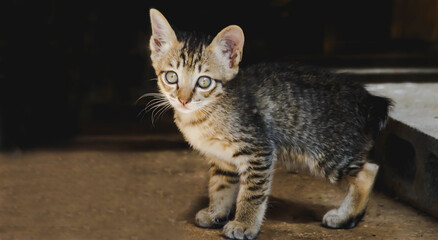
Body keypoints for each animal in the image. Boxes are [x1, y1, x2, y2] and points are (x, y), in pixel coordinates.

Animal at [146, 8, 390, 239]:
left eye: (204, 81)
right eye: (171, 77)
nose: (183, 100)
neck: (207, 112)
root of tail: (368, 99)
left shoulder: (258, 148)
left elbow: (252, 193)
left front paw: (244, 224)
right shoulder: (221, 159)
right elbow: (220, 187)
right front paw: (216, 213)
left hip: (328, 153)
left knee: (369, 170)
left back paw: (344, 216)